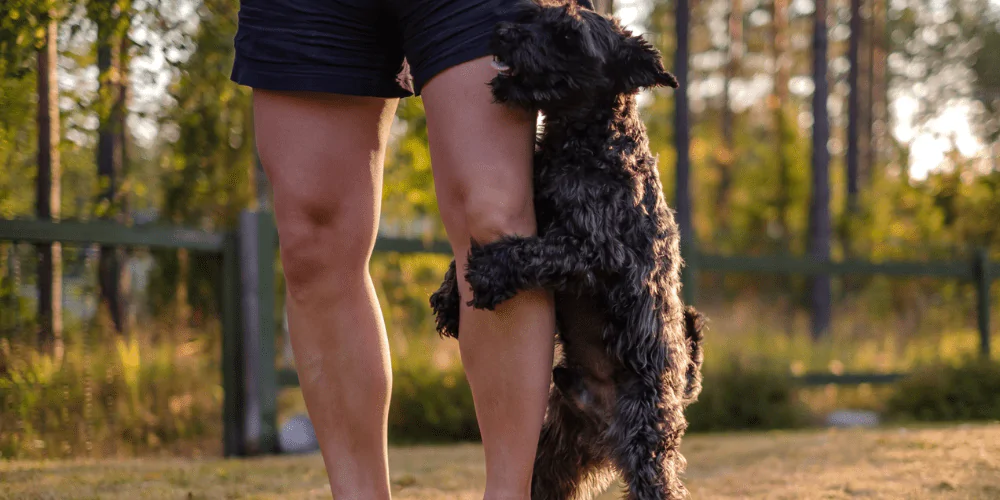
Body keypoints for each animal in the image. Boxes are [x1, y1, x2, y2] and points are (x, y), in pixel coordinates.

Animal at [430, 1, 704, 498]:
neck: (585, 142)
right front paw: (448, 296)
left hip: (646, 448)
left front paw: (490, 271)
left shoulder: (599, 252)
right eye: (532, 14)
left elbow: (539, 251)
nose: (502, 32)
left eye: (567, 38)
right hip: (552, 459)